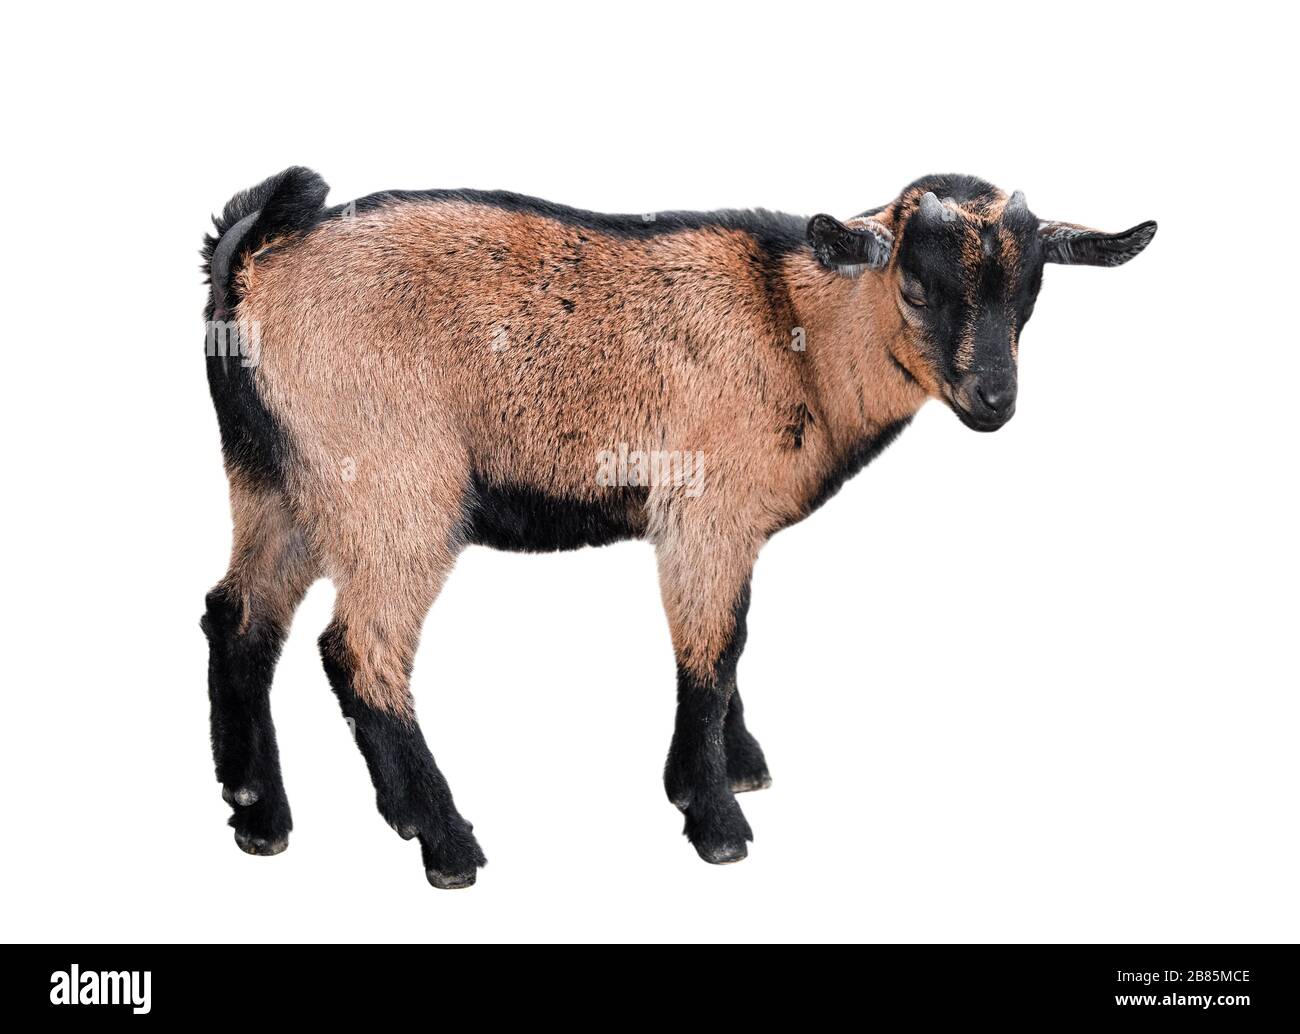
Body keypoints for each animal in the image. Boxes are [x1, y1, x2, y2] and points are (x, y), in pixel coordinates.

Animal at [201, 168, 1155, 887]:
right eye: (917, 287)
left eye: (1030, 293)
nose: (995, 400)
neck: (794, 324)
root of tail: (254, 265)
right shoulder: (705, 510)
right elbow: (713, 647)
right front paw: (714, 818)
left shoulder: (733, 528)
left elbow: (732, 644)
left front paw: (740, 765)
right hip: (394, 485)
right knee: (358, 649)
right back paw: (443, 840)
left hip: (275, 483)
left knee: (237, 618)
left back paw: (260, 815)